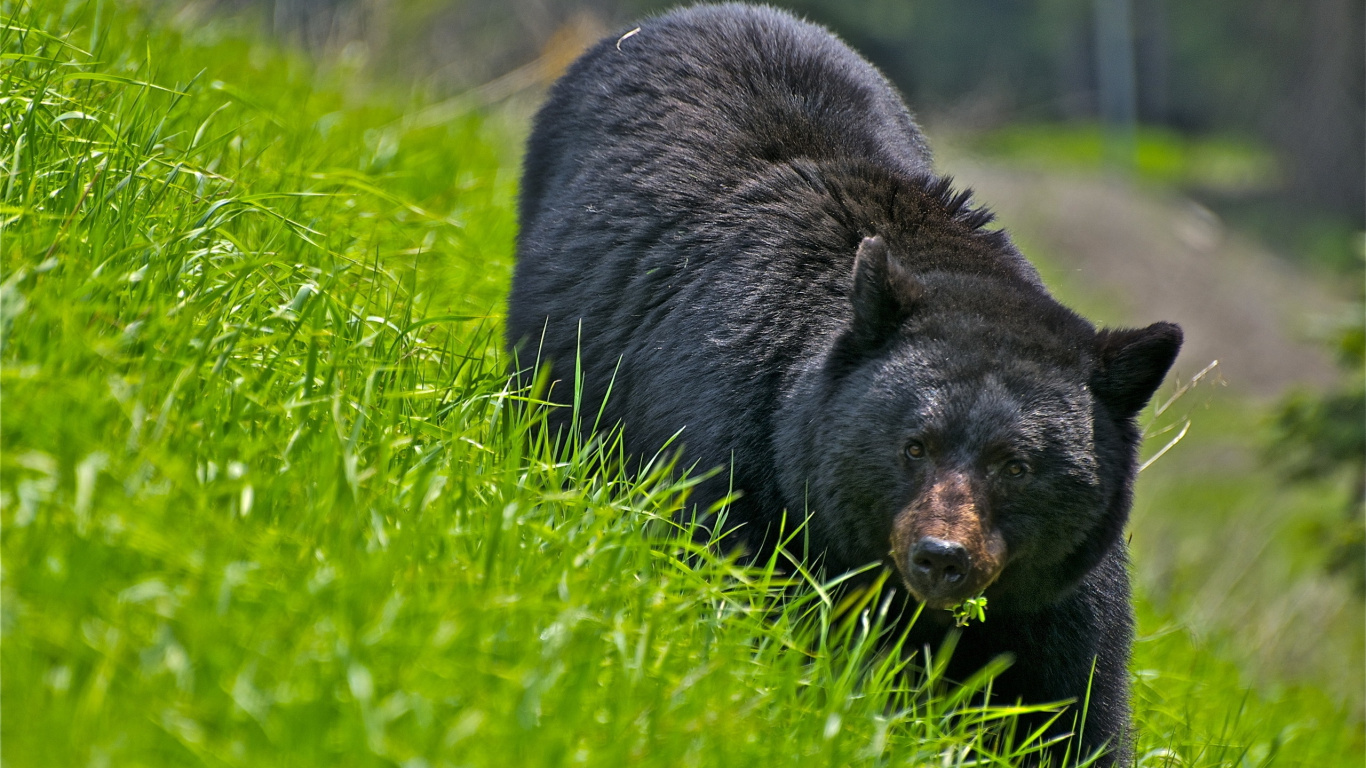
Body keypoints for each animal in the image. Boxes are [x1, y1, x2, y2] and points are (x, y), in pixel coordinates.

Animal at [507, 4, 1182, 765]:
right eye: (914, 445)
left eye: (1018, 466)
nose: (941, 558)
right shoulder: (740, 461)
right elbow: (733, 593)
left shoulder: (1057, 600)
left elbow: (1072, 709)